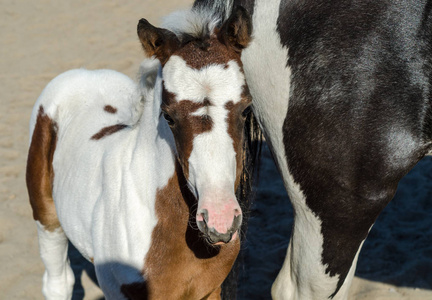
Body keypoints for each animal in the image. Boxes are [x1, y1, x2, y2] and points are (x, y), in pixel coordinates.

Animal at [26, 8, 260, 298]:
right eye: (168, 116)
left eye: (246, 109)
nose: (220, 218)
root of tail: (84, 73)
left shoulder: (210, 289)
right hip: (46, 217)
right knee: (58, 280)